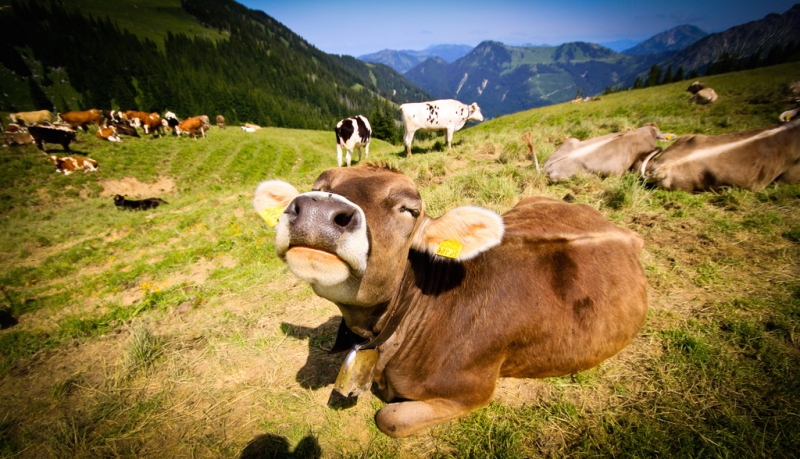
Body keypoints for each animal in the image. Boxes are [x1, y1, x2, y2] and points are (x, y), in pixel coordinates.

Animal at [252, 165, 648, 438]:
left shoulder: (473, 390)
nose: (318, 210)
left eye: (408, 209)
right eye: (318, 187)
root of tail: (624, 231)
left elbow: (388, 418)